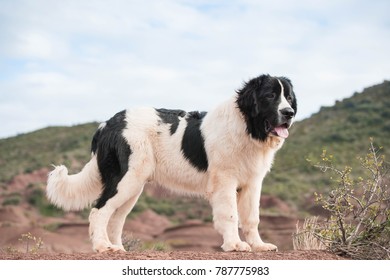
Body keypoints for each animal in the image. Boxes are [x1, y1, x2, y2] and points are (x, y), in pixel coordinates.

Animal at [48, 73, 298, 253]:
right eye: (270, 96)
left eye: (289, 98)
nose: (289, 113)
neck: (247, 126)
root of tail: (108, 123)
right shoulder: (225, 181)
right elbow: (230, 215)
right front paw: (235, 245)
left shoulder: (252, 183)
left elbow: (251, 218)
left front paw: (259, 245)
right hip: (124, 179)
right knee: (99, 211)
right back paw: (103, 247)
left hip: (133, 187)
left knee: (115, 218)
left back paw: (118, 248)